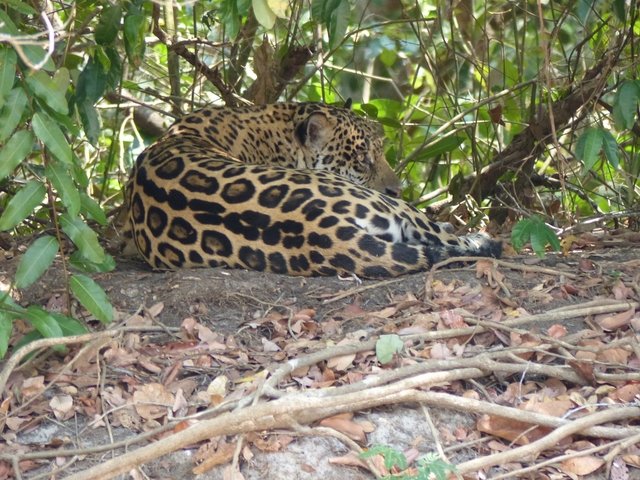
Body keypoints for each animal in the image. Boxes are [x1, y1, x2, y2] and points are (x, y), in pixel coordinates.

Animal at [124, 102, 501, 279]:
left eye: (381, 153)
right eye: (362, 160)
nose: (396, 190)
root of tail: (321, 231)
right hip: (395, 211)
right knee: (451, 238)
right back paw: (476, 236)